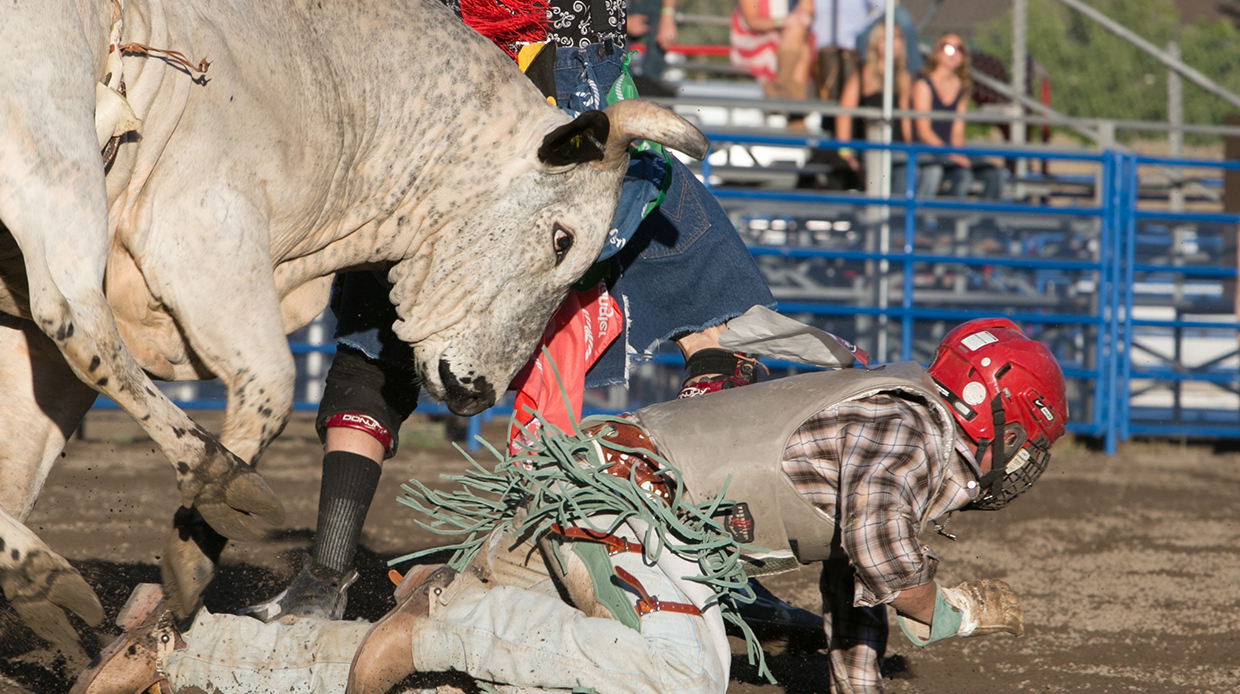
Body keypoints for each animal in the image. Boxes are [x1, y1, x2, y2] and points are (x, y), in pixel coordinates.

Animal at [0, 0, 709, 651]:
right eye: (563, 239)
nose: (477, 393)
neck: (334, 79)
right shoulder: (201, 232)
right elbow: (271, 383)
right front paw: (202, 535)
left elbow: (20, 463)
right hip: (60, 164)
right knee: (77, 318)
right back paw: (216, 482)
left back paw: (39, 581)